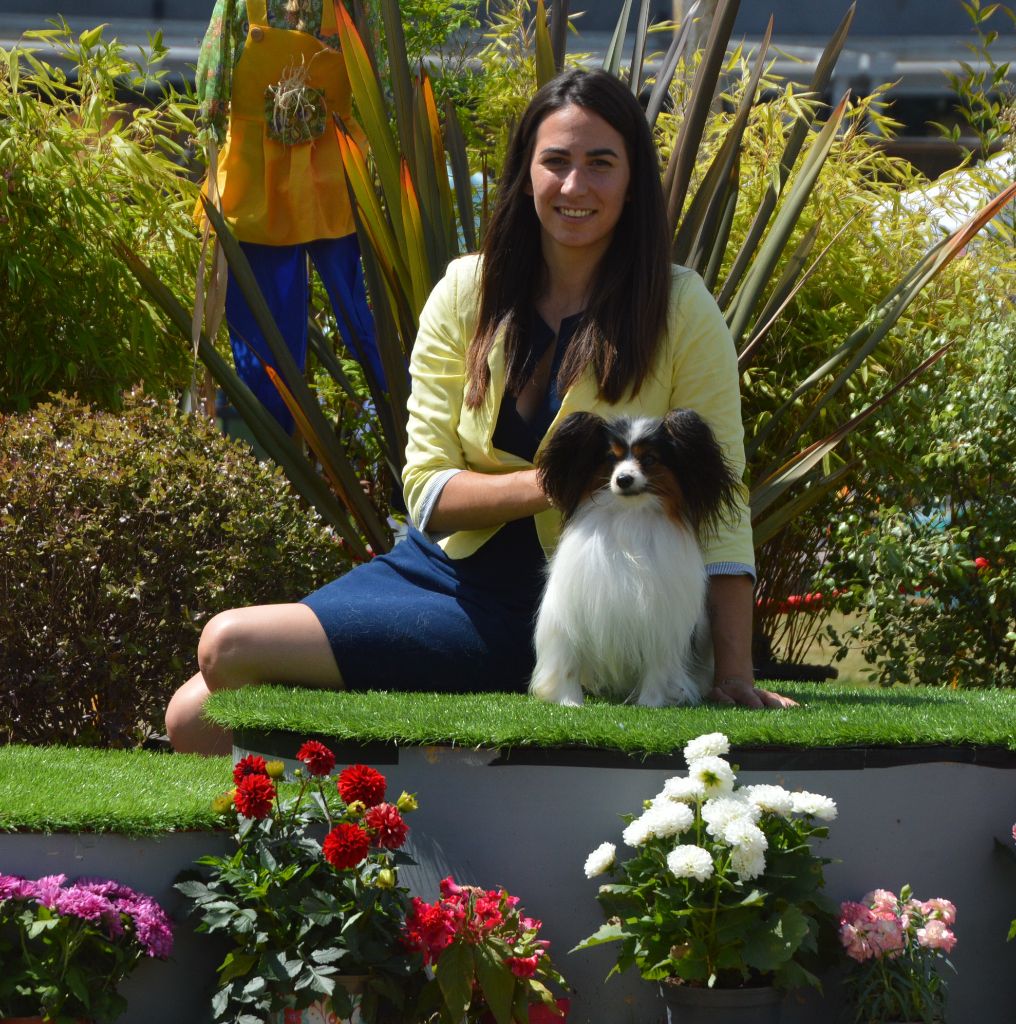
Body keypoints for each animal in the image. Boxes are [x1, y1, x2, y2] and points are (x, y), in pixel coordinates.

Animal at [528, 407, 741, 704]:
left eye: (649, 459)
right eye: (611, 458)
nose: (623, 479)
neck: (629, 513)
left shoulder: (661, 623)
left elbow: (657, 670)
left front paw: (651, 704)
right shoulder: (570, 614)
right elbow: (567, 663)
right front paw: (569, 702)